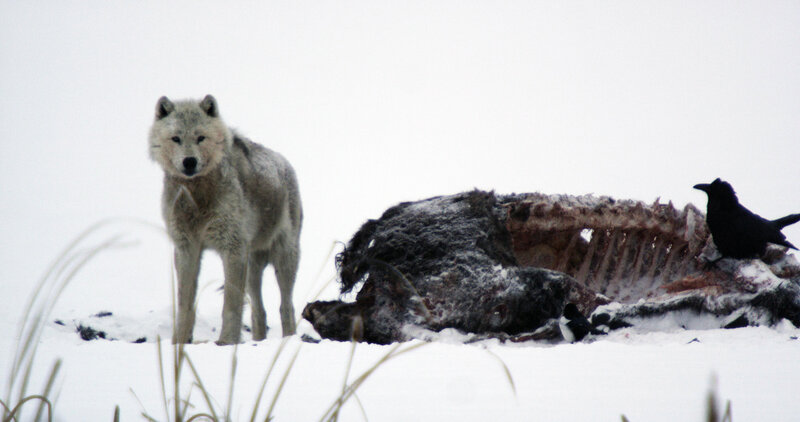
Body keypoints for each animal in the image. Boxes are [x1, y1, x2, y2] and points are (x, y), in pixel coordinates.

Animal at [148, 95, 302, 345]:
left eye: (201, 137)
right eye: (176, 138)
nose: (189, 161)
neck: (197, 198)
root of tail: (285, 163)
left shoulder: (232, 248)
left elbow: (230, 304)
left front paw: (227, 341)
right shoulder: (186, 248)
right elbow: (184, 304)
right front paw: (180, 342)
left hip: (284, 258)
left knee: (285, 306)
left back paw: (289, 339)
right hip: (253, 268)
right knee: (259, 311)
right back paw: (259, 340)